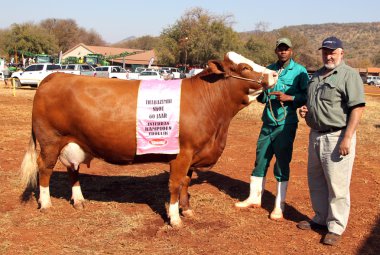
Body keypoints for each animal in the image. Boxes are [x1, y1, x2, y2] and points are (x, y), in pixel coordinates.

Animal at [20, 52, 276, 227]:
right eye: (244, 67)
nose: (274, 74)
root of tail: (54, 76)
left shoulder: (193, 155)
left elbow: (186, 183)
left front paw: (187, 211)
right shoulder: (182, 154)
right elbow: (175, 184)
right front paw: (175, 219)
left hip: (74, 142)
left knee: (73, 170)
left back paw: (79, 200)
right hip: (50, 141)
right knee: (45, 169)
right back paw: (46, 204)